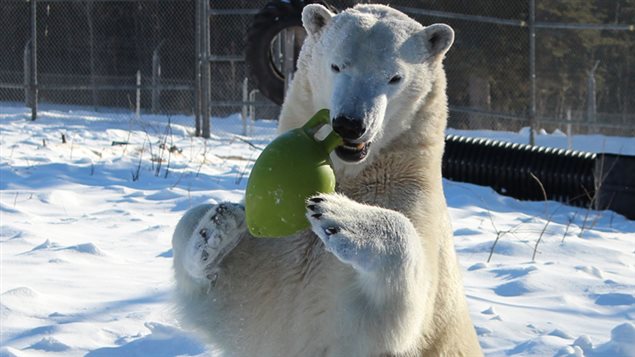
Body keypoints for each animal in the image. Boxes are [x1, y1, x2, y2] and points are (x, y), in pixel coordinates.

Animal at [173, 3, 482, 356]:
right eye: (336, 65)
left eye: (395, 77)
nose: (350, 124)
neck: (351, 172)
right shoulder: (282, 251)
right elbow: (231, 292)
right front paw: (216, 229)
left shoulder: (413, 202)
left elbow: (400, 306)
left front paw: (339, 217)